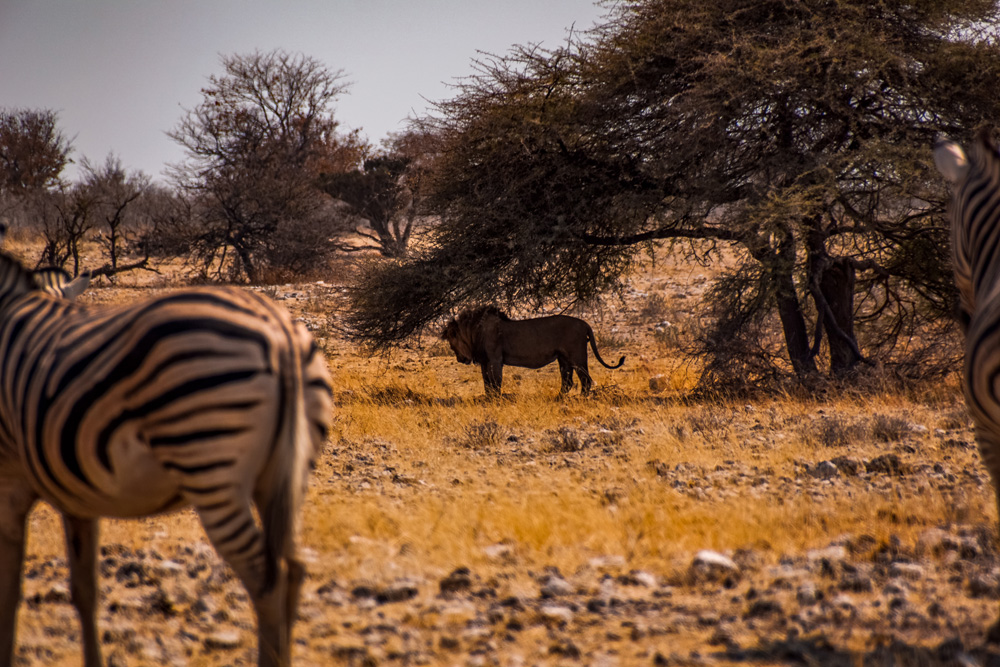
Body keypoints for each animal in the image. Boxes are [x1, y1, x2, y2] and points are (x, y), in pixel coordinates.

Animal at [0, 252, 332, 667]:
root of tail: (281, 334)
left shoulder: (11, 484)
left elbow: (10, 588)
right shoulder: (74, 493)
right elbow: (84, 590)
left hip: (208, 462)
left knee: (268, 578)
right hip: (285, 476)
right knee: (293, 567)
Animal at [440, 306, 624, 396]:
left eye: (452, 344)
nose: (460, 359)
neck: (473, 331)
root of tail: (585, 323)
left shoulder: (495, 360)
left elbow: (495, 383)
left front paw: (496, 400)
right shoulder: (485, 362)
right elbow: (487, 384)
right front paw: (488, 399)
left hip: (577, 357)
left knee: (585, 380)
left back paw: (580, 399)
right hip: (563, 359)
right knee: (567, 382)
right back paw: (557, 399)